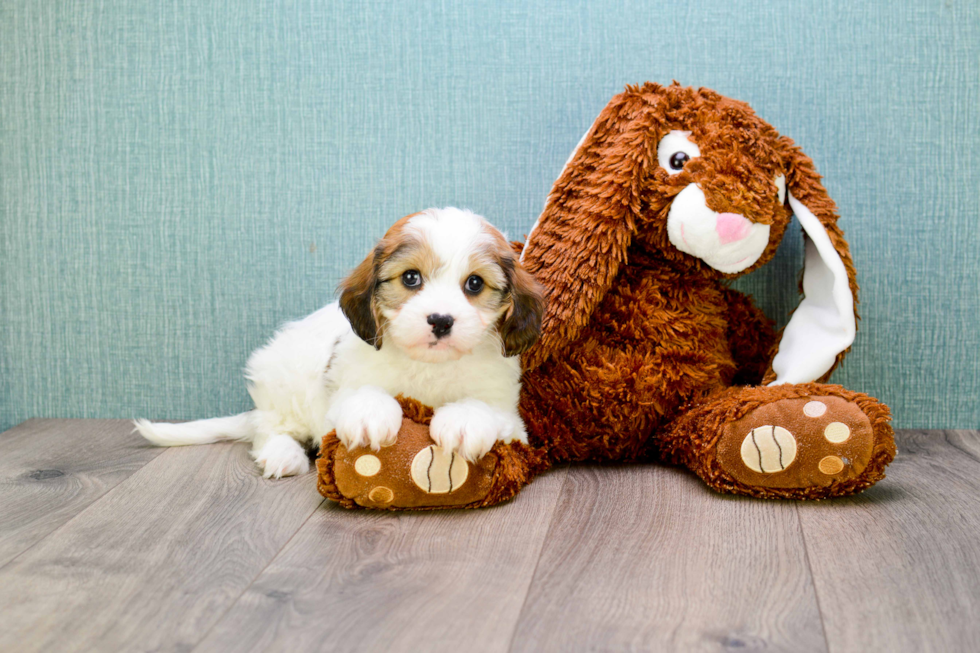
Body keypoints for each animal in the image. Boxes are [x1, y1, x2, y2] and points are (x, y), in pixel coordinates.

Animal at [133, 206, 544, 476]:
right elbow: (362, 395)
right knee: (268, 429)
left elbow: (484, 408)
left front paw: (463, 422)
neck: (429, 367)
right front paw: (369, 415)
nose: (441, 321)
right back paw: (283, 455)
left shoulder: (510, 417)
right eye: (411, 278)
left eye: (474, 284)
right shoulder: (339, 394)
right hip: (282, 388)